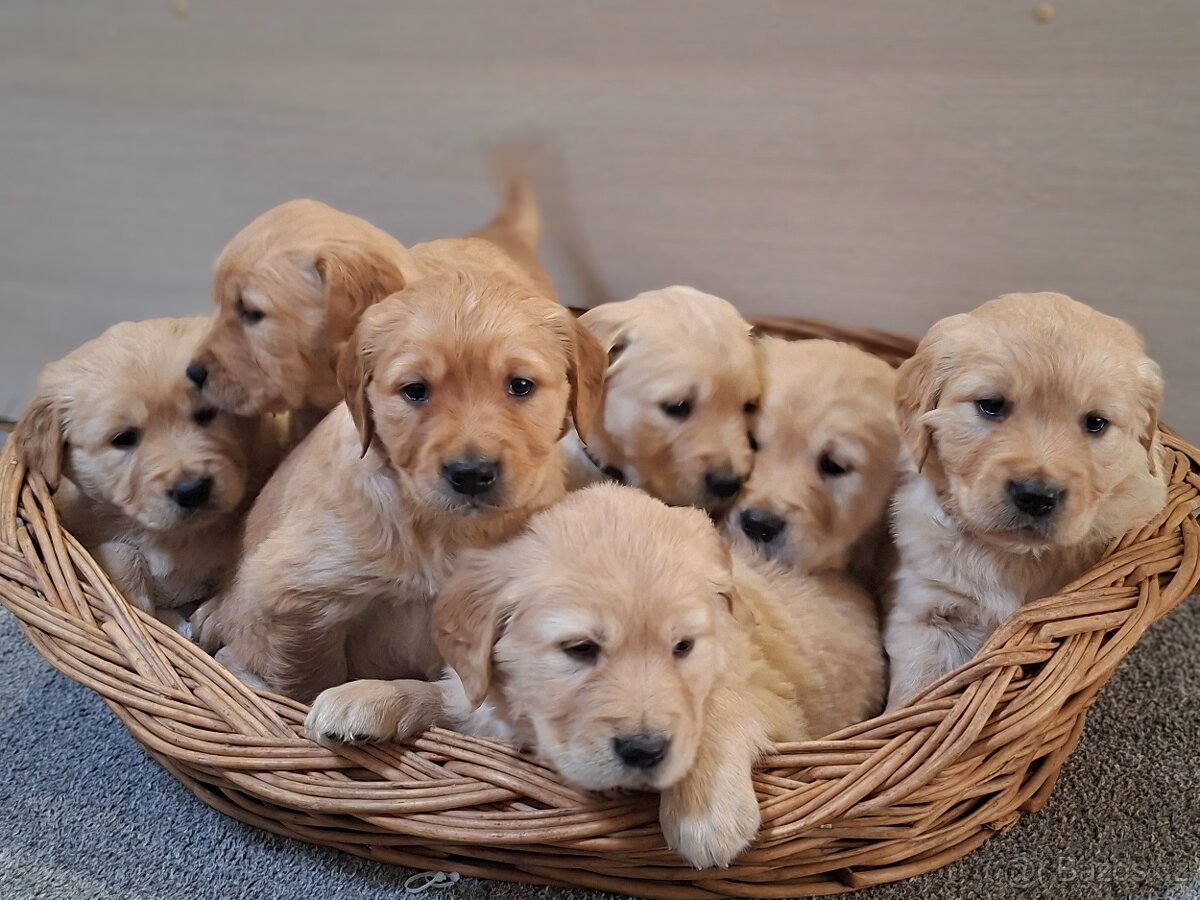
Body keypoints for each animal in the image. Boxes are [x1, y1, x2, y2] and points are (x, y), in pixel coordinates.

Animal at [12, 318, 287, 631]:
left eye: (207, 413)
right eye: (123, 438)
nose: (192, 490)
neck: (174, 536)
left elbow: (241, 570)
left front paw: (215, 615)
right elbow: (122, 554)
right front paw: (137, 610)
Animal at [192, 269, 606, 701]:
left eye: (520, 386)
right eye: (416, 390)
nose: (471, 473)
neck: (448, 530)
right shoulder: (294, 597)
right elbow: (308, 682)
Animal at [305, 484, 885, 869]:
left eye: (683, 647)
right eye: (580, 649)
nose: (645, 750)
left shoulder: (782, 704)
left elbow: (721, 707)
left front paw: (704, 813)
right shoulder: (489, 696)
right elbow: (452, 696)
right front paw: (366, 698)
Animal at [885, 292, 1170, 709]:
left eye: (1096, 423)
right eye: (990, 405)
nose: (1036, 496)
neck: (1014, 555)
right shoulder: (928, 609)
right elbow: (918, 691)